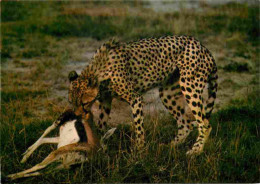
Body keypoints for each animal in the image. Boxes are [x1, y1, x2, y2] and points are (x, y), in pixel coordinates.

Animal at [67, 35, 217, 155]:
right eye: (71, 102)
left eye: (85, 103)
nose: (78, 116)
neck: (99, 69)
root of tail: (202, 46)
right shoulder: (105, 100)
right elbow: (101, 125)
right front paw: (99, 148)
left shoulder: (135, 98)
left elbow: (139, 128)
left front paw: (139, 151)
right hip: (168, 93)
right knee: (185, 124)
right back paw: (170, 147)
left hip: (189, 86)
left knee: (205, 123)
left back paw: (196, 150)